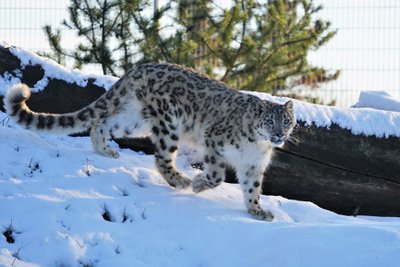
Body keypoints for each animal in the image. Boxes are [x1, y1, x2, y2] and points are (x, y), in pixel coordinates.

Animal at [3, 63, 296, 222]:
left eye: (287, 121)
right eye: (269, 121)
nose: (279, 134)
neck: (257, 146)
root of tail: (140, 66)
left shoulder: (253, 166)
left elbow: (252, 189)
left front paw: (257, 211)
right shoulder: (214, 142)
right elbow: (216, 176)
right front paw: (198, 185)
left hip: (136, 119)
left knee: (102, 123)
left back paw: (106, 151)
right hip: (169, 122)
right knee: (161, 157)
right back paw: (181, 180)